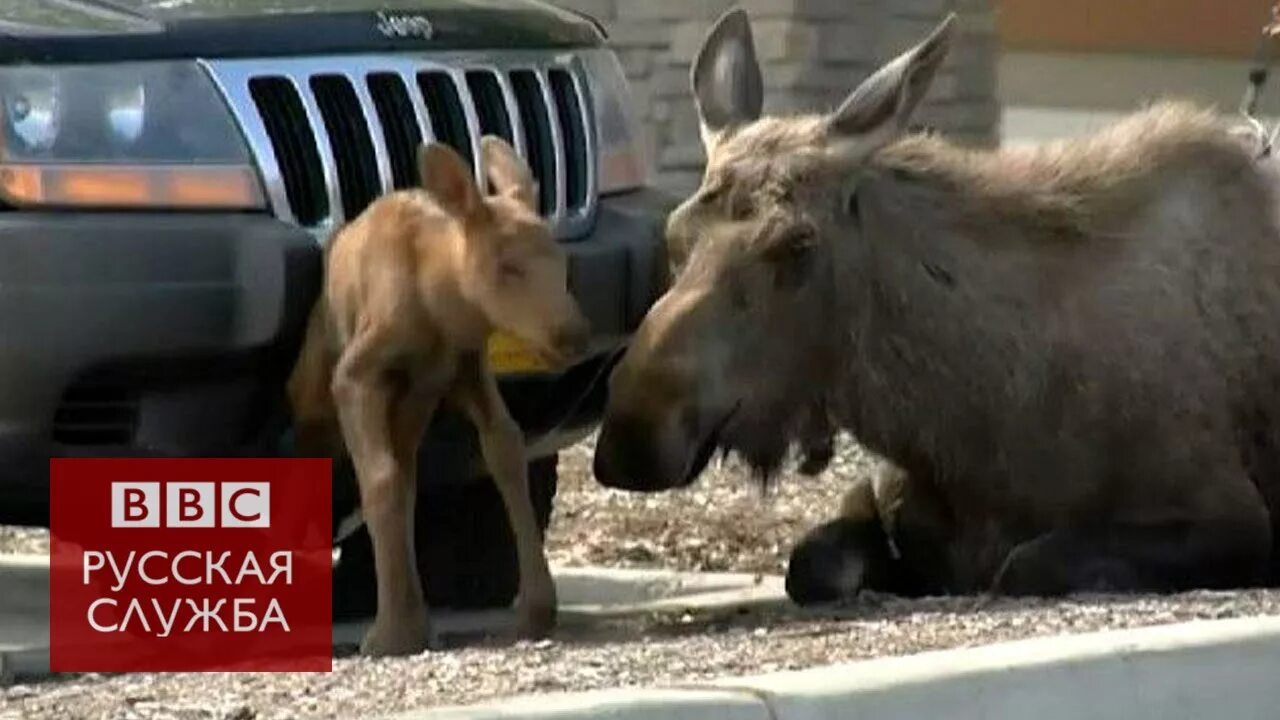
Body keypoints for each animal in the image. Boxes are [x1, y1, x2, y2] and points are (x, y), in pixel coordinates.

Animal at [591, 7, 1280, 599]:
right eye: (674, 233)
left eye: (797, 243)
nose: (630, 434)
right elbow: (813, 562)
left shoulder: (1229, 511)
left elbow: (1026, 563)